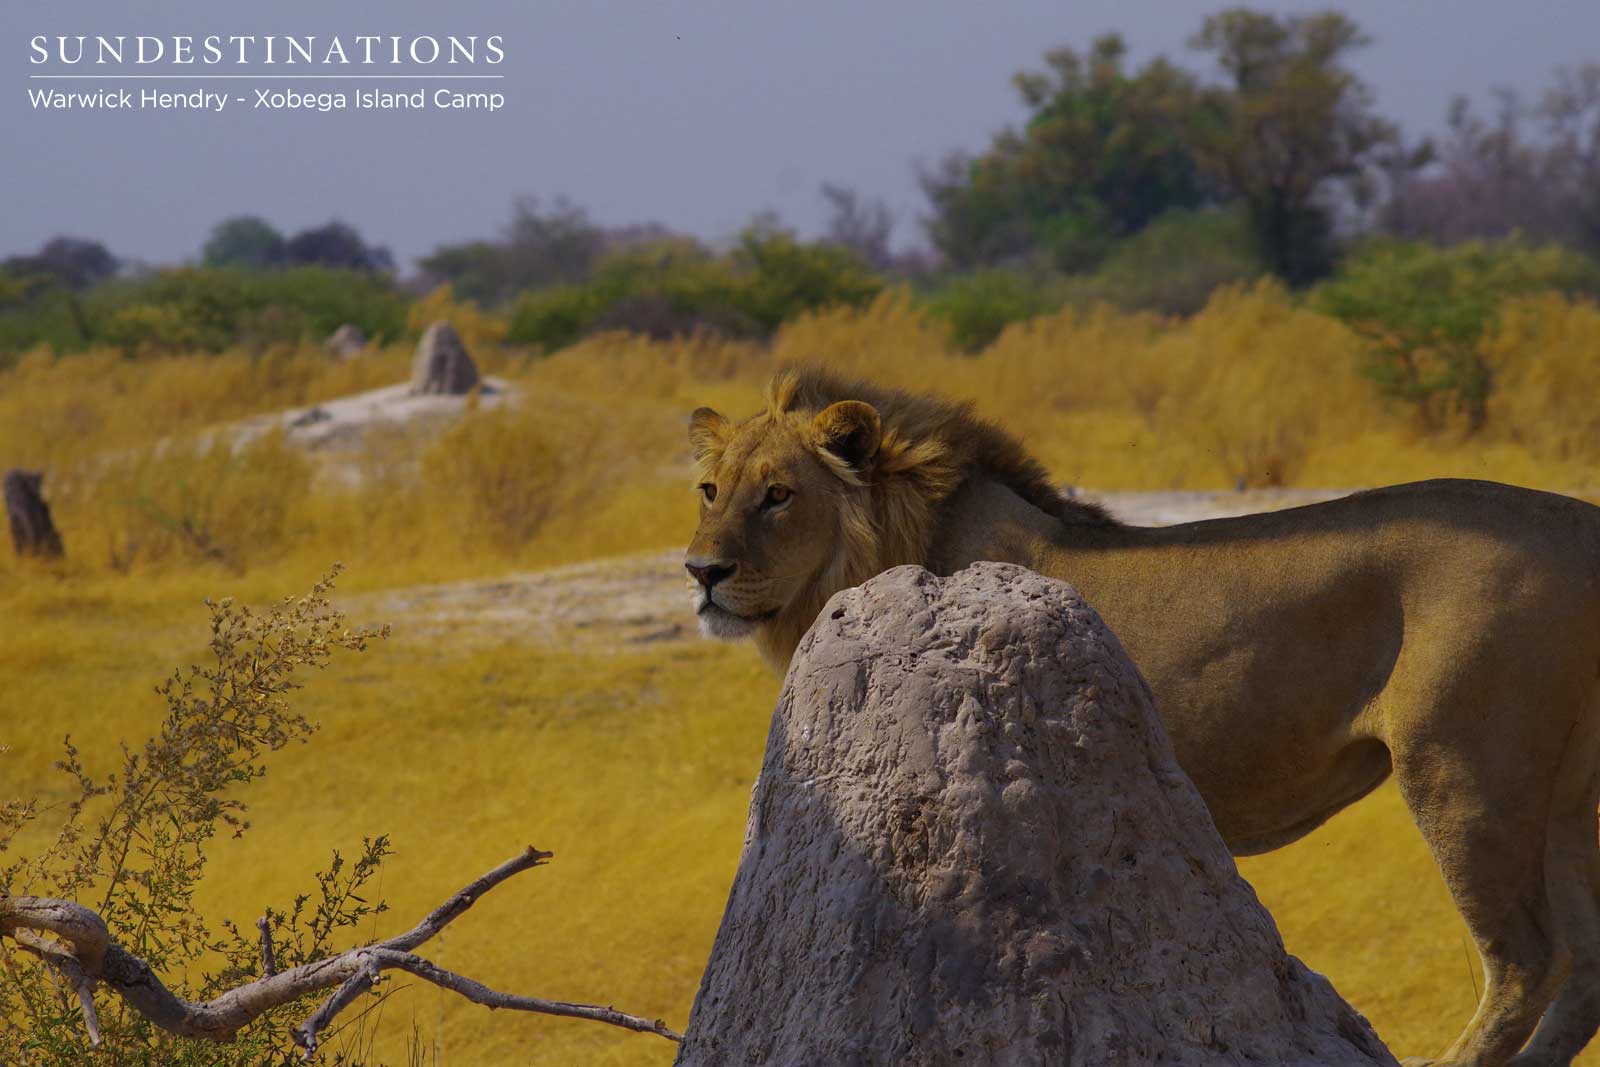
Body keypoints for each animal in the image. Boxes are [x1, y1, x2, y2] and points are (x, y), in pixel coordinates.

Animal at [683, 365, 1600, 1067]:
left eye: (779, 495)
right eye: (709, 490)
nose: (700, 571)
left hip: (1466, 768)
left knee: (1529, 961)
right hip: (1567, 802)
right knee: (1586, 965)